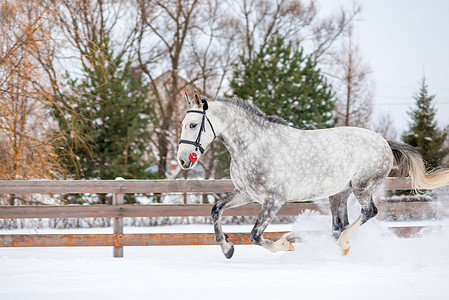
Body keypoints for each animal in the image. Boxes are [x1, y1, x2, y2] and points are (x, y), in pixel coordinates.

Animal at [177, 91, 446, 258]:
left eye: (192, 125)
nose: (182, 160)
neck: (253, 145)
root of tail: (384, 143)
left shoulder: (274, 199)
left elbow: (255, 235)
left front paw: (286, 245)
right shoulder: (246, 194)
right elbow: (216, 210)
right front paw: (227, 249)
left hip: (362, 186)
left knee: (368, 213)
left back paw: (344, 244)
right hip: (339, 193)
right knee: (339, 225)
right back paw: (337, 250)